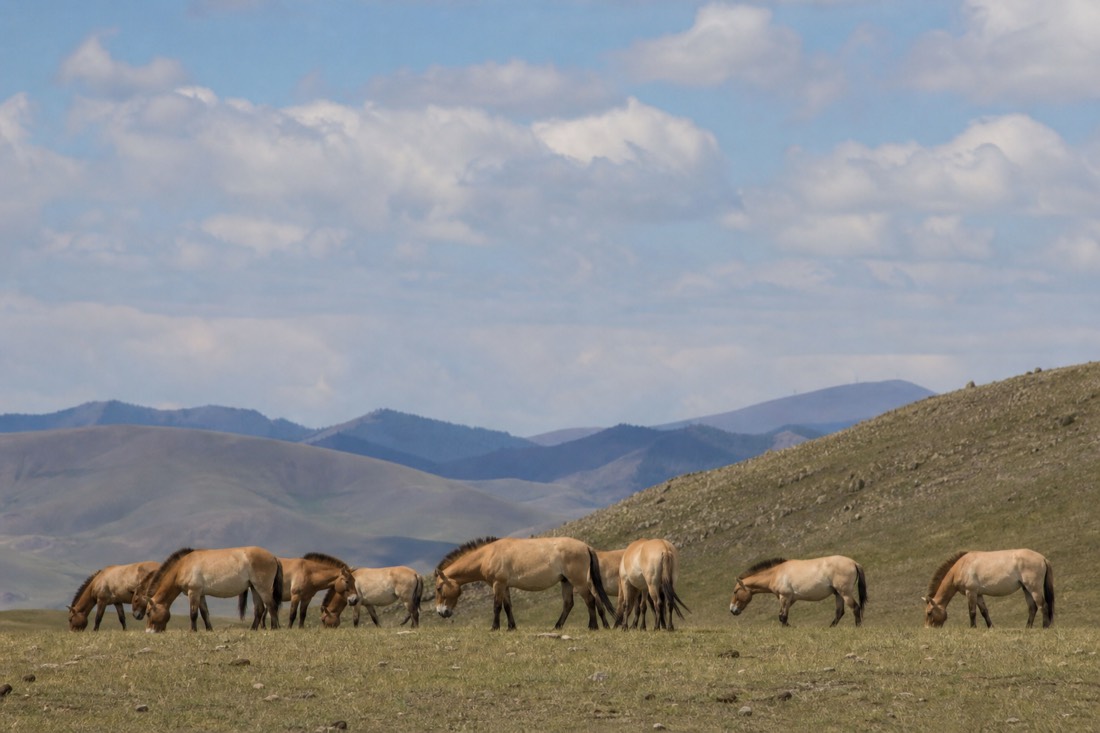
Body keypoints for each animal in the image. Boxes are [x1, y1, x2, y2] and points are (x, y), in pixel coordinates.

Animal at [144, 546, 284, 632]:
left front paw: (192, 631)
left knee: (271, 606)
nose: (149, 631)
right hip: (254, 588)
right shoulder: (200, 594)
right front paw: (209, 629)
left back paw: (274, 628)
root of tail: (274, 557)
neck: (183, 566)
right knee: (259, 609)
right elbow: (204, 613)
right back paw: (253, 629)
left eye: (148, 612)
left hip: (262, 588)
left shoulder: (193, 592)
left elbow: (193, 614)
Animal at [433, 536, 616, 631]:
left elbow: (497, 606)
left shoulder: (498, 585)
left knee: (590, 600)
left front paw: (494, 627)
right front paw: (511, 627)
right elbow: (507, 606)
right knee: (568, 604)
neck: (488, 555)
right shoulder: (505, 586)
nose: (441, 612)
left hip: (577, 581)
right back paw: (556, 627)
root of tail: (586, 546)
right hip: (566, 582)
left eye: (438, 588)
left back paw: (593, 626)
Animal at [730, 556, 866, 627]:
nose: (732, 610)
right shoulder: (791, 599)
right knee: (839, 612)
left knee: (855, 608)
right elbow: (781, 616)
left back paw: (857, 627)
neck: (776, 573)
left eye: (735, 591)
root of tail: (854, 563)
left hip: (844, 593)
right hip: (838, 594)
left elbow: (783, 617)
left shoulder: (784, 597)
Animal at [922, 549, 1054, 628]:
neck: (962, 566)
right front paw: (991, 627)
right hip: (1026, 589)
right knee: (1032, 608)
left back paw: (1045, 627)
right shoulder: (978, 594)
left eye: (929, 612)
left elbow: (972, 612)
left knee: (1043, 606)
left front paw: (973, 628)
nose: (928, 629)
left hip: (1034, 588)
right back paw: (1027, 628)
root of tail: (1043, 558)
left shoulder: (971, 592)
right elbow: (984, 611)